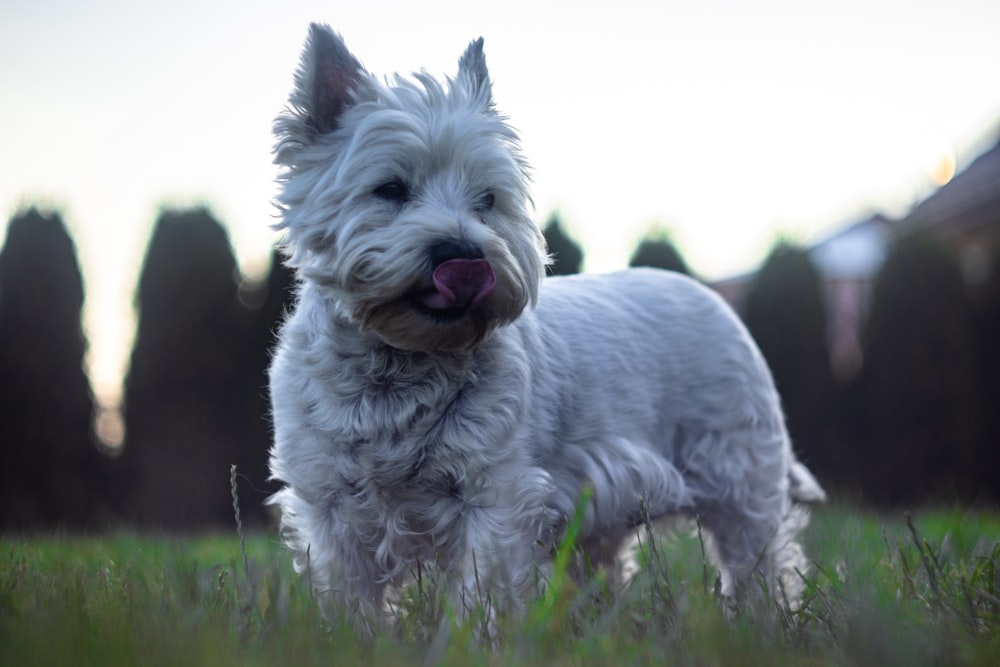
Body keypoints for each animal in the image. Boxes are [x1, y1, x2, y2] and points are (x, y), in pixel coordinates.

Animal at [270, 23, 824, 636]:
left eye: (488, 199)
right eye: (389, 189)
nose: (464, 257)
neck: (402, 360)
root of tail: (713, 299)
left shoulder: (495, 490)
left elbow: (482, 585)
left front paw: (474, 638)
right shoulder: (330, 500)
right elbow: (348, 590)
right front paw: (357, 638)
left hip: (739, 470)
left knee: (760, 555)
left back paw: (763, 621)